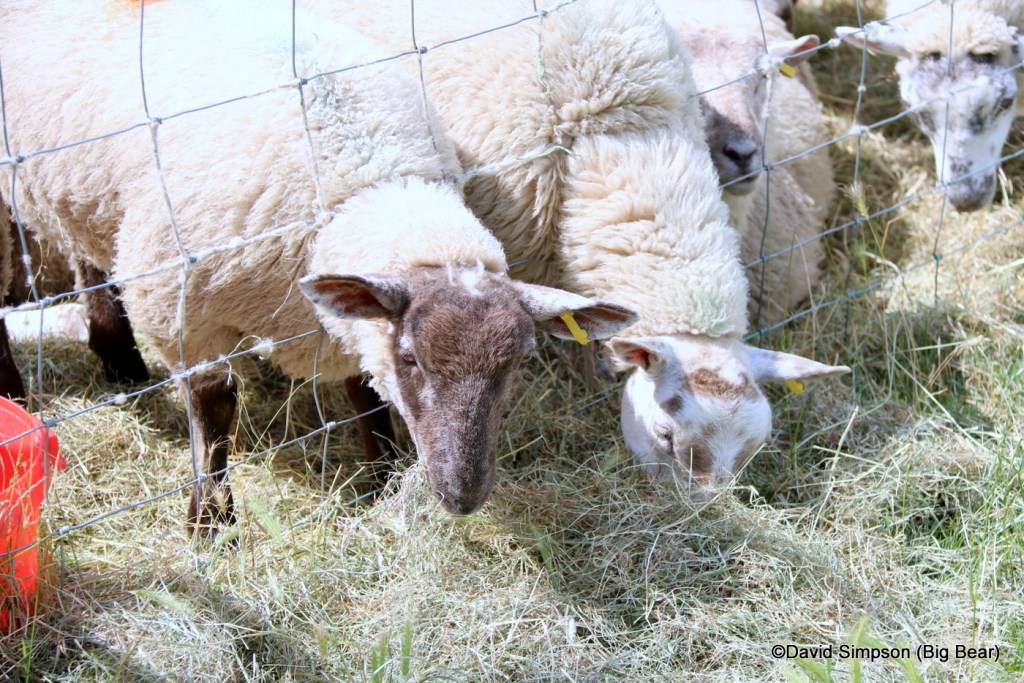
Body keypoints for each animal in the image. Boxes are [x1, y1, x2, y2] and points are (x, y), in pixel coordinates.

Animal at [0, 0, 638, 534]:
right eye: (411, 358)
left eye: (522, 362)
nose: (463, 498)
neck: (362, 184)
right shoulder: (179, 305)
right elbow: (214, 409)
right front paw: (212, 523)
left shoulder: (346, 322)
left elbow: (366, 396)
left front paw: (381, 480)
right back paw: (18, 393)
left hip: (84, 193)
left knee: (86, 251)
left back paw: (119, 359)